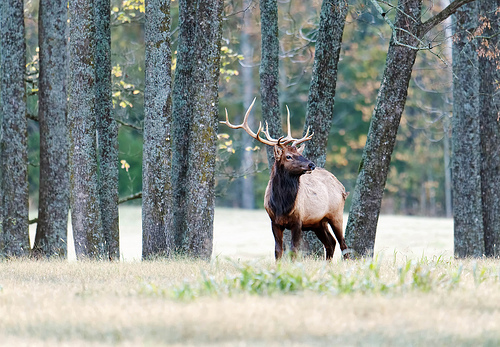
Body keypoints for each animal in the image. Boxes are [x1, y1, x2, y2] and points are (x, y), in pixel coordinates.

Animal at [221, 98, 350, 260]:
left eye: (299, 153)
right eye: (288, 156)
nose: (311, 164)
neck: (282, 205)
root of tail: (342, 188)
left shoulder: (298, 221)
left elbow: (294, 250)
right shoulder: (274, 222)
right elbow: (278, 250)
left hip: (336, 214)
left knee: (343, 244)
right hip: (319, 222)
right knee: (331, 242)